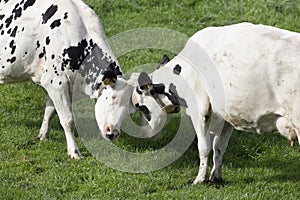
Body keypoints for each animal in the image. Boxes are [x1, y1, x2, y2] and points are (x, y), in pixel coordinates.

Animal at [0, 0, 124, 159]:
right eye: (111, 99)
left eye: (131, 109)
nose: (113, 133)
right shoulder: (55, 82)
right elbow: (68, 120)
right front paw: (74, 152)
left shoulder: (57, 83)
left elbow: (50, 111)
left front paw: (43, 135)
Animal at [95, 22, 300, 184]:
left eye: (140, 106)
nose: (145, 134)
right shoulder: (225, 115)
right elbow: (219, 147)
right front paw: (216, 177)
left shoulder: (199, 110)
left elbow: (204, 146)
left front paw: (200, 179)